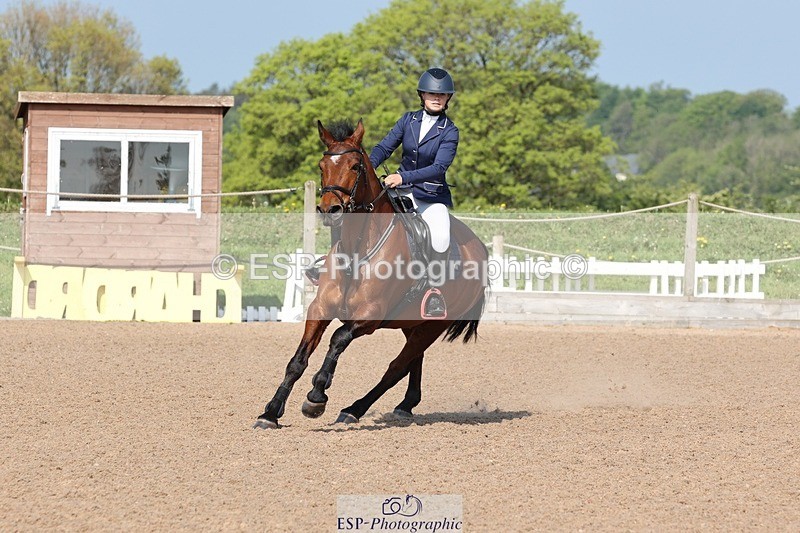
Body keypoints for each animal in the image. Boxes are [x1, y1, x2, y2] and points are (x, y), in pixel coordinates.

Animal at [253, 119, 488, 429]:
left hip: (433, 325)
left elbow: (338, 338)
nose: (330, 210)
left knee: (396, 367)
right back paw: (405, 406)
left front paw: (316, 397)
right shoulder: (319, 308)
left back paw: (354, 409)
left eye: (355, 166)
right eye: (321, 165)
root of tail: (480, 247)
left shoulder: (369, 316)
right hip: (412, 323)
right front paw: (270, 412)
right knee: (413, 360)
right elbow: (297, 361)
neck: (356, 250)